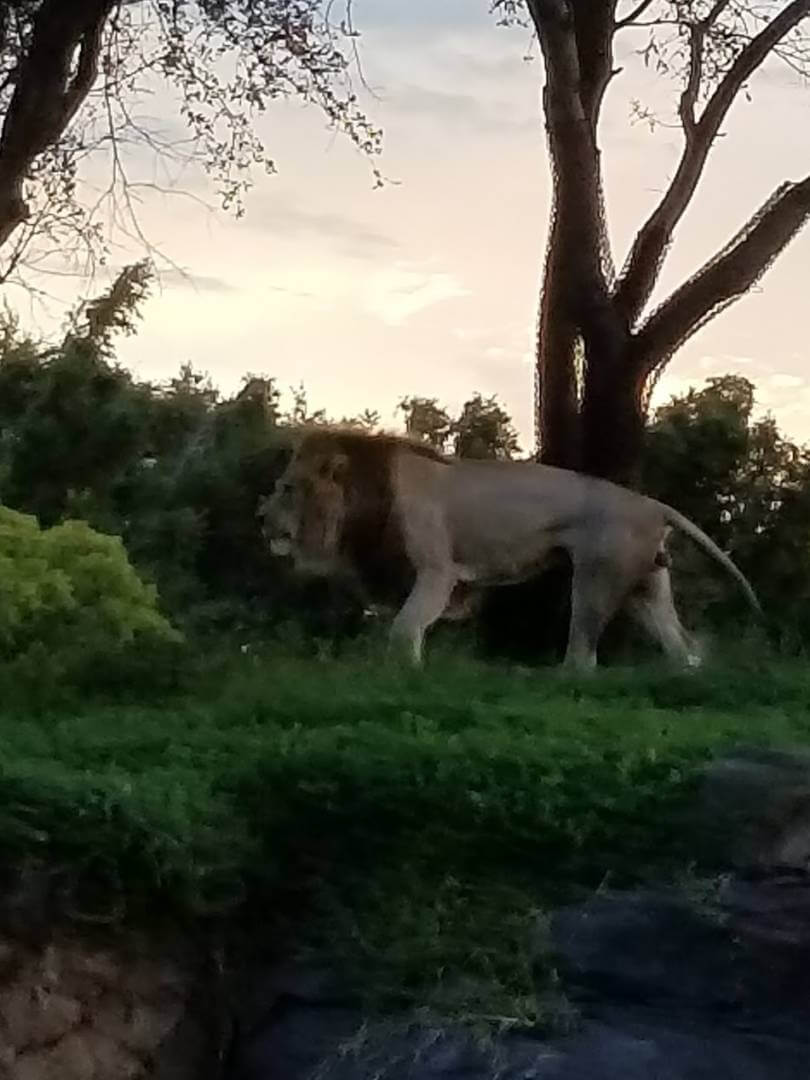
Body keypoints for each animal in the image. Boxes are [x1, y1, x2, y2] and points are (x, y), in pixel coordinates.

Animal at [263, 427, 764, 665]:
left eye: (287, 489)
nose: (259, 517)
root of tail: (654, 505)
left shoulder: (438, 569)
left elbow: (404, 629)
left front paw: (406, 673)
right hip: (646, 587)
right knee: (682, 647)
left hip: (597, 578)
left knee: (583, 657)